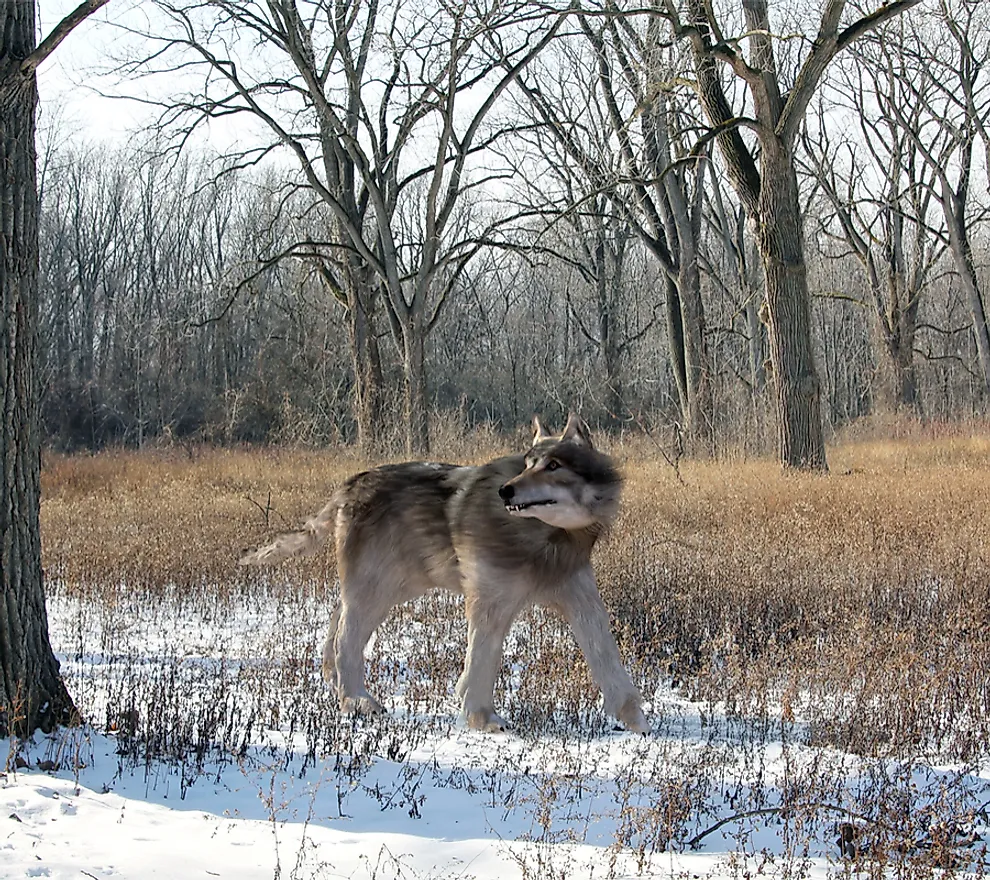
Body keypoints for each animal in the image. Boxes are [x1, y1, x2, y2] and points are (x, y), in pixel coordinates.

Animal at [240, 416, 652, 732]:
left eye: (553, 466)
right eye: (527, 464)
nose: (506, 491)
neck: (547, 536)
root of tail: (348, 486)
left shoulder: (581, 599)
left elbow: (608, 659)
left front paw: (636, 722)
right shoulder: (489, 602)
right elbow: (482, 661)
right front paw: (482, 719)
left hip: (391, 588)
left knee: (334, 621)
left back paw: (336, 686)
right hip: (377, 592)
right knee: (346, 640)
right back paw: (357, 701)